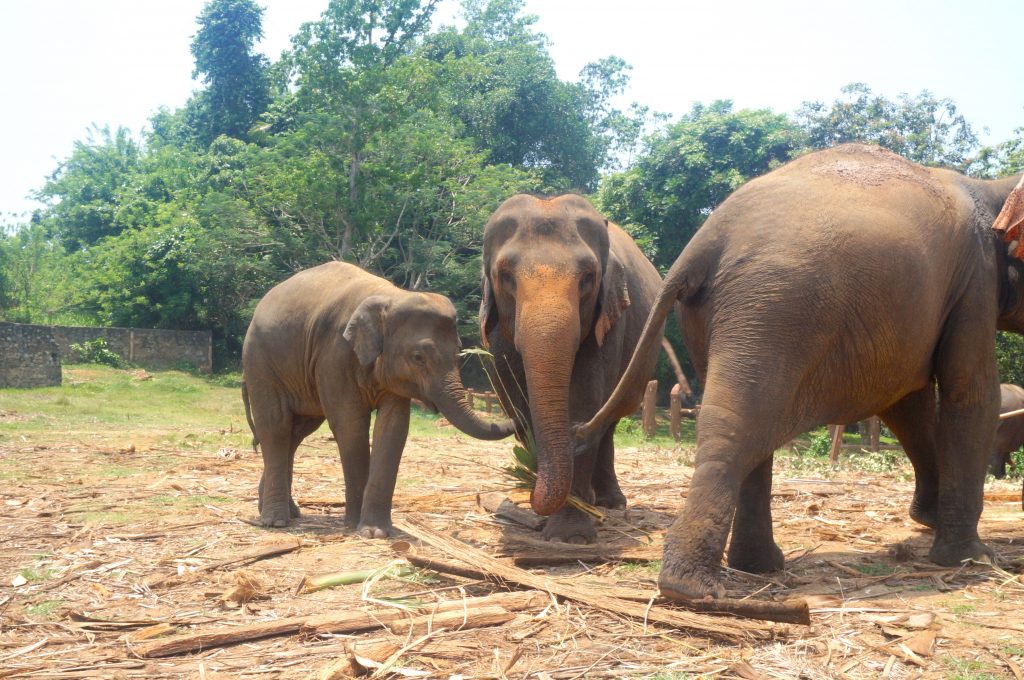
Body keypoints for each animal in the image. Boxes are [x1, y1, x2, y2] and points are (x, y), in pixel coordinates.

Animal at [240, 260, 512, 536]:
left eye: (458, 353)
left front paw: (376, 532)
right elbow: (350, 425)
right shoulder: (334, 355)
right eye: (418, 357)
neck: (393, 296)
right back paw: (275, 521)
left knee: (296, 432)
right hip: (260, 362)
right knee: (276, 427)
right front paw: (355, 526)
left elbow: (393, 427)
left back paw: (288, 511)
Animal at [481, 193, 663, 544]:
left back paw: (608, 502)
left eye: (588, 277)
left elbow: (585, 396)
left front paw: (570, 537)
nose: (576, 433)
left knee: (610, 421)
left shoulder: (609, 318)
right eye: (506, 276)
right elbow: (515, 398)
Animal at [577, 144, 1024, 602]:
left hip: (724, 317)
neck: (992, 189)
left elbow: (906, 404)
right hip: (776, 306)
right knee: (741, 426)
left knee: (746, 421)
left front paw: (928, 521)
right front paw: (972, 558)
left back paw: (754, 567)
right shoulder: (975, 279)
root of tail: (702, 243)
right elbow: (969, 393)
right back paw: (693, 586)